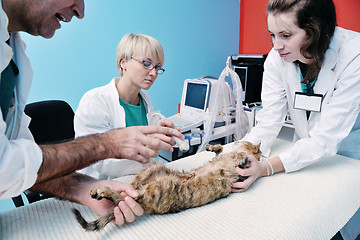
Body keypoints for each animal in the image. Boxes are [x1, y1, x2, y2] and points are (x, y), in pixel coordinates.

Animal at [71, 141, 260, 231]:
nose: (238, 141)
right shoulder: (221, 159)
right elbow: (220, 150)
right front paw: (213, 146)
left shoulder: (239, 172)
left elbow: (242, 159)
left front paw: (241, 155)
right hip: (155, 168)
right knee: (132, 188)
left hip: (158, 189)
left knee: (127, 198)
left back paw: (104, 191)